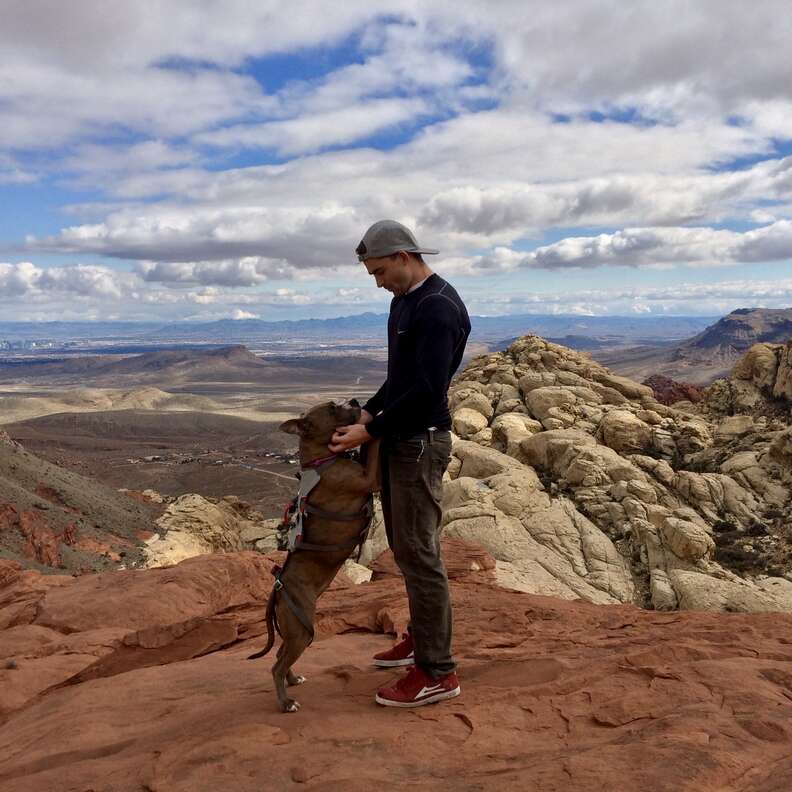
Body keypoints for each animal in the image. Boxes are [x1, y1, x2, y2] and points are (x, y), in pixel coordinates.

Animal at [249, 400, 382, 716]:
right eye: (333, 408)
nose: (355, 401)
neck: (323, 460)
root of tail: (277, 591)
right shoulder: (370, 478)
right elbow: (373, 445)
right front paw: (374, 428)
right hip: (301, 630)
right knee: (276, 665)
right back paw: (286, 702)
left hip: (295, 631)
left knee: (281, 655)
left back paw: (293, 679)